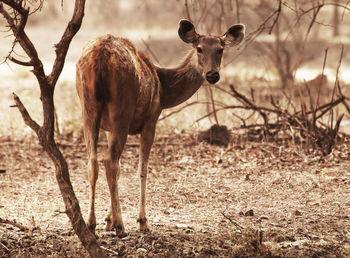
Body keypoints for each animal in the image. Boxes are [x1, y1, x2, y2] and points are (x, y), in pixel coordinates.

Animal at [76, 19, 246, 238]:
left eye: (220, 49)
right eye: (199, 48)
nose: (212, 74)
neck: (163, 89)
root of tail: (101, 55)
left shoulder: (107, 127)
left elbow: (121, 169)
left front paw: (108, 220)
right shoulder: (151, 120)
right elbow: (142, 170)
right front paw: (141, 221)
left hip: (87, 108)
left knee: (93, 162)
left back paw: (91, 224)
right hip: (122, 109)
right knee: (109, 162)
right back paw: (121, 227)